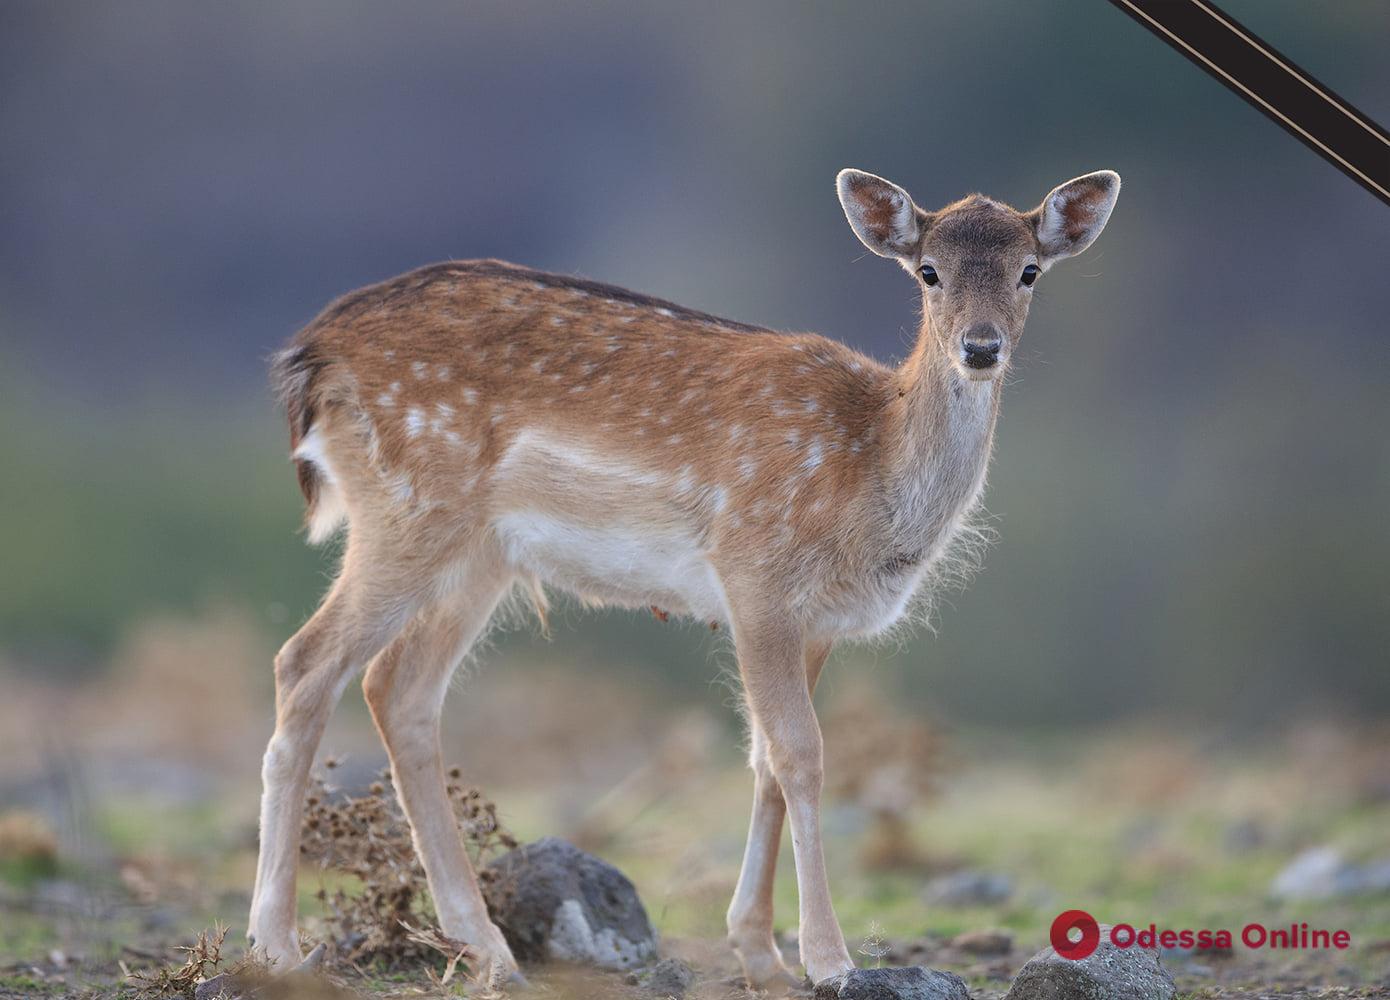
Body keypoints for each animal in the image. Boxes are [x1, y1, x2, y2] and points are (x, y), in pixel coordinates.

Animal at [250, 168, 1117, 990]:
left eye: (1030, 271)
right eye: (929, 271)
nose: (980, 347)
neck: (869, 481)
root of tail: (309, 355)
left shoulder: (818, 622)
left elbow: (765, 762)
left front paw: (761, 955)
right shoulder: (755, 573)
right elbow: (802, 754)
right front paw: (829, 960)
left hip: (480, 554)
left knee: (397, 687)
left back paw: (487, 949)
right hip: (407, 508)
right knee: (304, 662)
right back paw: (278, 947)